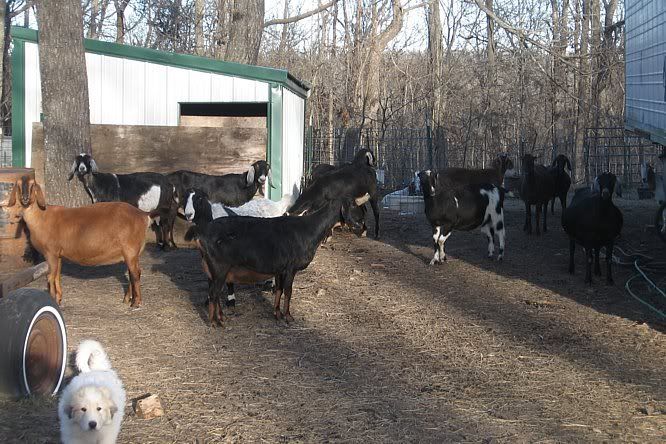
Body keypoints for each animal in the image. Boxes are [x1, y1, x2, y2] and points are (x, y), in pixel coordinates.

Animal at [6, 176, 153, 307]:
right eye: (19, 185)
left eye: (32, 185)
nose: (25, 198)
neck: (41, 217)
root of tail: (143, 215)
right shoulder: (58, 254)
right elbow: (57, 276)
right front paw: (59, 299)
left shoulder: (50, 252)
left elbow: (50, 277)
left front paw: (53, 300)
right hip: (132, 253)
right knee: (133, 272)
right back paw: (127, 299)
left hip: (130, 250)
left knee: (135, 274)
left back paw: (136, 303)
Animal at [184, 198, 355, 326]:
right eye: (353, 205)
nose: (359, 226)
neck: (308, 229)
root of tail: (202, 233)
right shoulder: (290, 268)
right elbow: (288, 291)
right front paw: (288, 316)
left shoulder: (280, 269)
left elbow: (278, 289)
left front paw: (277, 313)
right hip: (219, 267)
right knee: (213, 293)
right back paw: (215, 322)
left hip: (215, 271)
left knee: (215, 293)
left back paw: (221, 317)